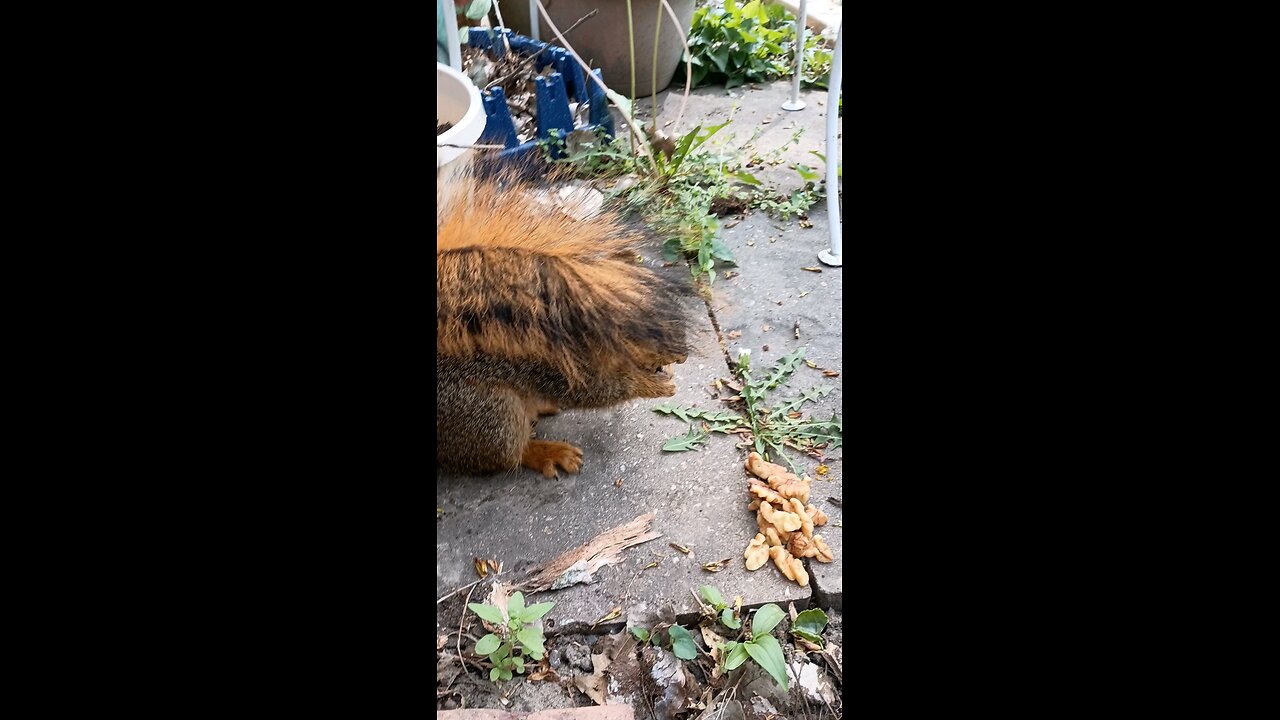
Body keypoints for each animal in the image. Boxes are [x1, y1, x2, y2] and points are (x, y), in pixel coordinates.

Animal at [437, 162, 691, 476]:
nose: (682, 356)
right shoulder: (557, 367)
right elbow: (594, 392)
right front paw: (652, 384)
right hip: (484, 412)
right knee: (507, 454)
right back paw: (548, 452)